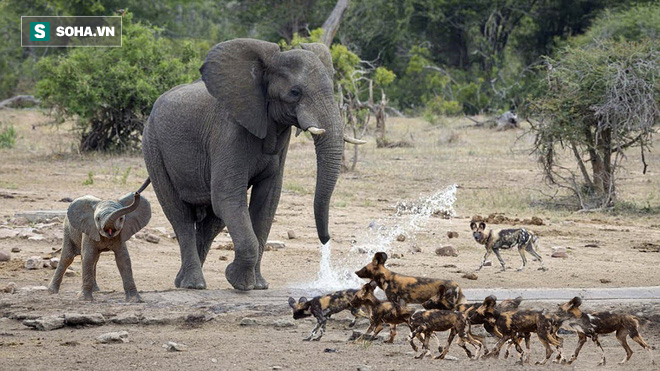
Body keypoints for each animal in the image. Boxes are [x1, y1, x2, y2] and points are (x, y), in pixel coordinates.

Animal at [141, 39, 364, 292]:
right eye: (295, 92)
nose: (326, 239)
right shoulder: (229, 130)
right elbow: (228, 196)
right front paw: (239, 282)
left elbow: (267, 201)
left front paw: (259, 285)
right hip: (153, 147)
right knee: (180, 216)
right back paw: (193, 284)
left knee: (212, 222)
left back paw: (183, 281)